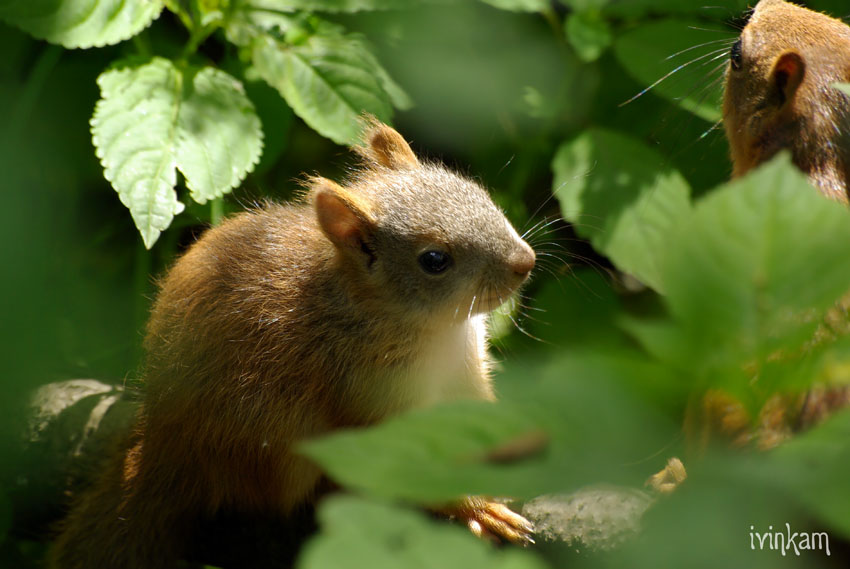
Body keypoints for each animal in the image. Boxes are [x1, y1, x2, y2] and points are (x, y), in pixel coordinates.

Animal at [48, 118, 528, 564]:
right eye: (434, 260)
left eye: (479, 193)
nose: (525, 262)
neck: (438, 329)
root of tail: (166, 439)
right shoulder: (365, 383)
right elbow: (403, 460)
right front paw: (476, 508)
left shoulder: (467, 366)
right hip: (270, 436)